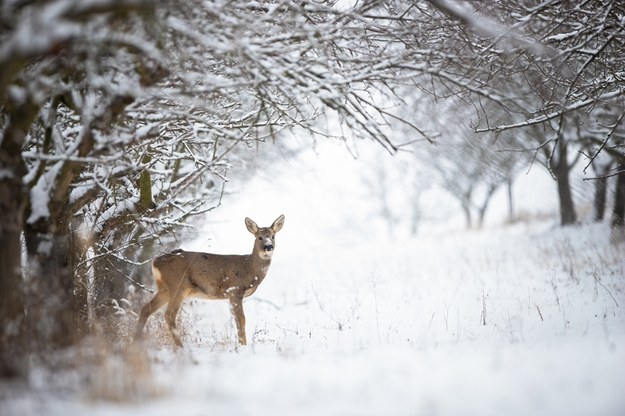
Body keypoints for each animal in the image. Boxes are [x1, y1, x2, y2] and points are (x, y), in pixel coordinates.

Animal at [135, 214, 286, 348]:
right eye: (259, 237)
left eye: (273, 236)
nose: (269, 246)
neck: (249, 268)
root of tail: (155, 262)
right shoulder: (235, 290)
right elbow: (241, 319)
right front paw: (243, 345)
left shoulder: (230, 295)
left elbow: (236, 321)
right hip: (178, 285)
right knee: (169, 315)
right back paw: (180, 348)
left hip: (165, 288)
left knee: (146, 309)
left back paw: (136, 341)